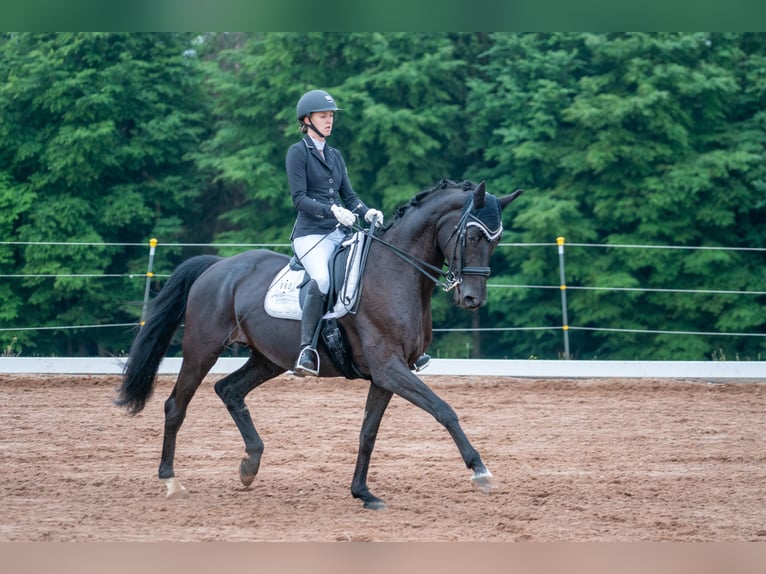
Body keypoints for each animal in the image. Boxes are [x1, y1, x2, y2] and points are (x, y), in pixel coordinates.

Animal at [115, 179, 523, 509]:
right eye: (472, 236)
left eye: (497, 240)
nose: (472, 299)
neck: (396, 273)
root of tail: (217, 266)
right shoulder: (389, 368)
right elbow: (444, 410)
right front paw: (480, 470)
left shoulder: (386, 374)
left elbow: (368, 432)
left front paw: (363, 493)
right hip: (202, 350)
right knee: (176, 406)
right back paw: (170, 479)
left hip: (268, 359)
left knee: (229, 390)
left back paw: (250, 464)